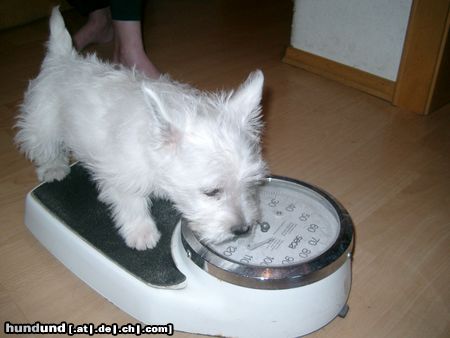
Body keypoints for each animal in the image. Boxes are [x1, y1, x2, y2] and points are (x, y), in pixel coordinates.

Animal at [15, 7, 268, 251]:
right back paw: (54, 168)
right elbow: (133, 204)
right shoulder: (123, 175)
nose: (242, 229)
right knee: (43, 144)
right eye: (211, 192)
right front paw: (142, 234)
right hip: (42, 120)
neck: (152, 153)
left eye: (250, 184)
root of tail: (62, 57)